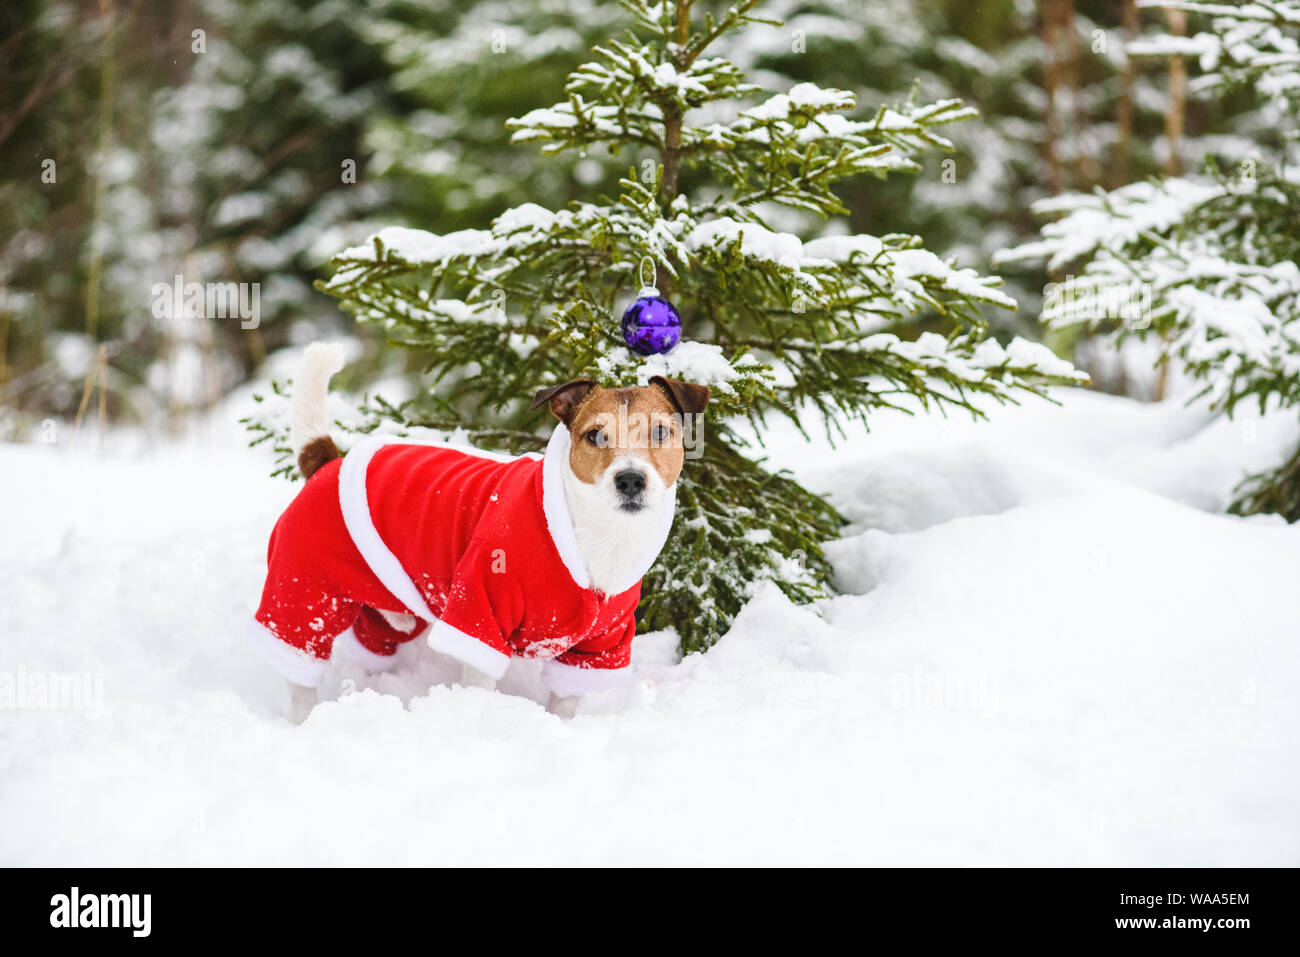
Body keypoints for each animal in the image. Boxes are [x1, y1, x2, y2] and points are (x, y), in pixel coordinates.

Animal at [246, 343, 707, 717]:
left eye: (661, 431)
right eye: (594, 436)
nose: (630, 479)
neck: (596, 536)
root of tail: (329, 462)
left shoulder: (599, 647)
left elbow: (565, 701)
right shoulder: (478, 614)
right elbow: (480, 678)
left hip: (379, 604)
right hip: (305, 592)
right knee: (298, 663)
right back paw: (307, 718)